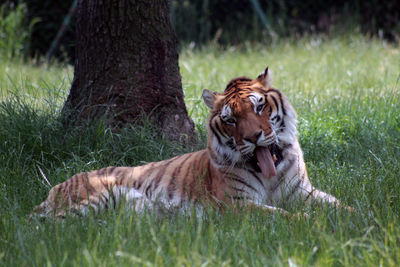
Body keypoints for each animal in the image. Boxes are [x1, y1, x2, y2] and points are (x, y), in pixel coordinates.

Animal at [32, 67, 350, 220]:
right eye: (230, 120)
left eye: (259, 107)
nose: (252, 137)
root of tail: (54, 188)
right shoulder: (235, 204)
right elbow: (283, 215)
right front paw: (309, 221)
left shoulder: (304, 192)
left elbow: (340, 206)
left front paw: (357, 221)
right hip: (95, 197)